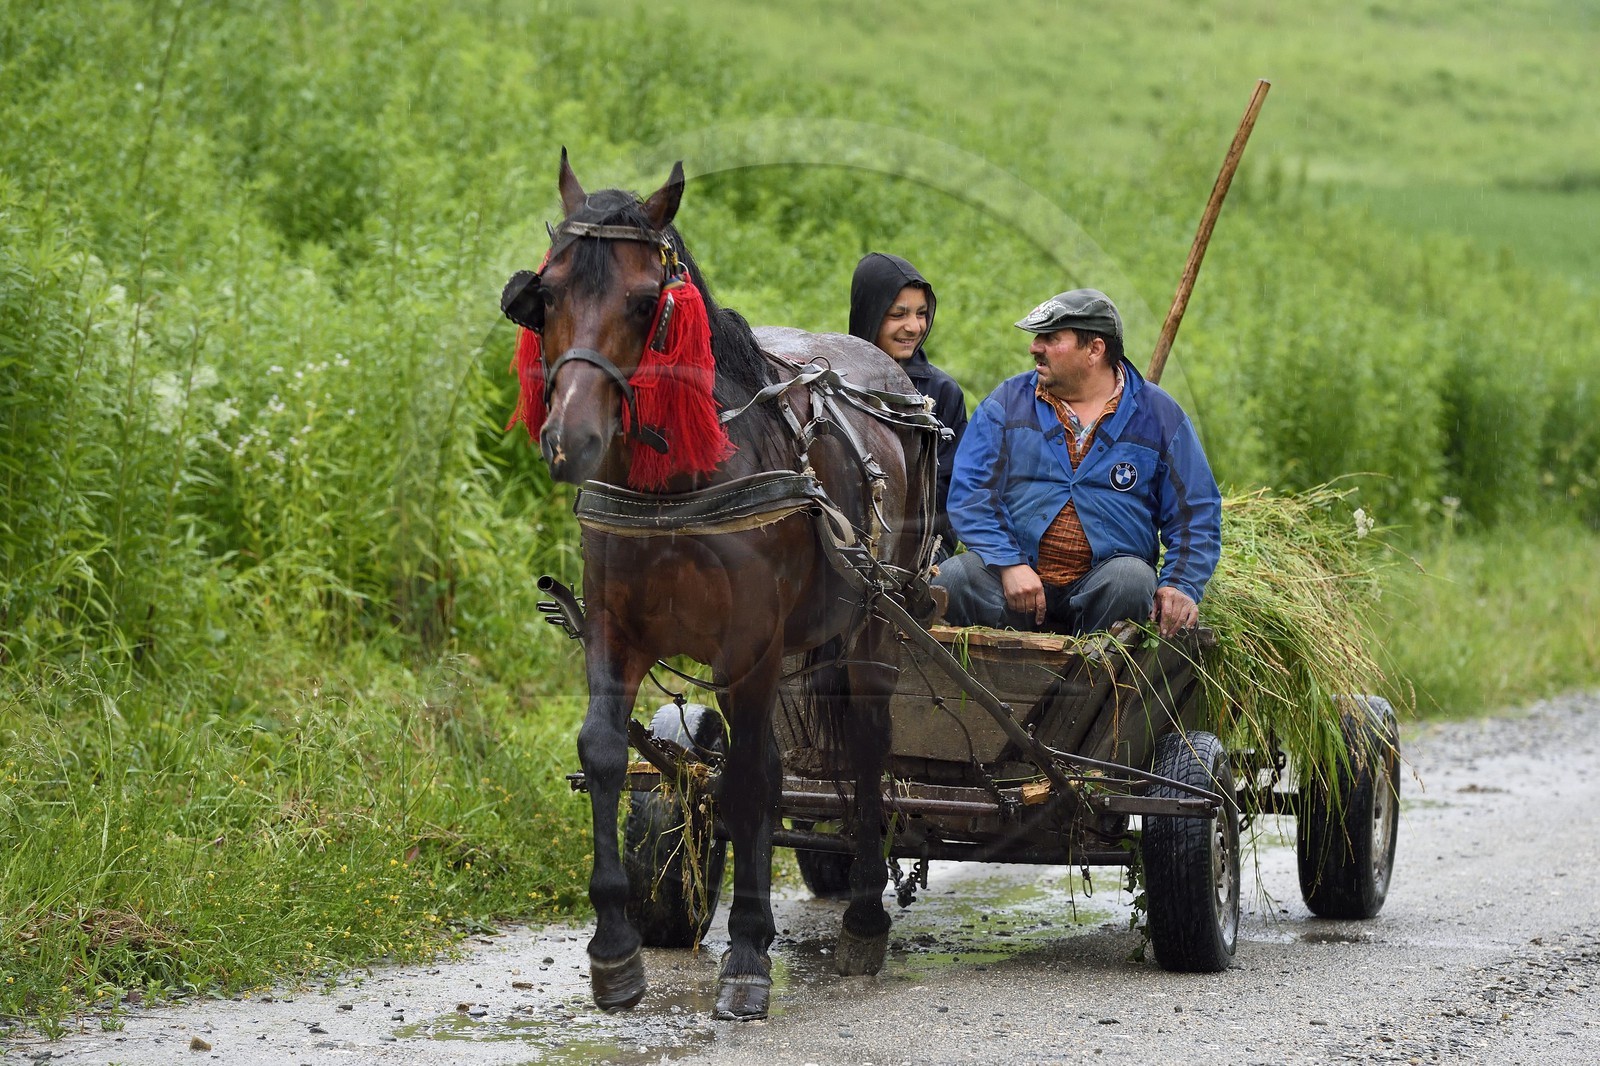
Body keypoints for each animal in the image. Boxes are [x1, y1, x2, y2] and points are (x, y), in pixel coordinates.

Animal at [502, 152, 943, 1020]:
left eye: (646, 303)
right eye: (548, 294)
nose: (571, 440)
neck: (676, 485)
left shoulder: (750, 645)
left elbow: (747, 782)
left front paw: (746, 952)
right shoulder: (614, 628)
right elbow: (604, 752)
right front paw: (615, 950)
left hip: (877, 619)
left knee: (865, 747)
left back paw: (864, 917)